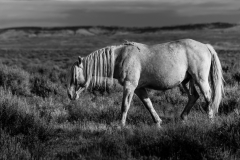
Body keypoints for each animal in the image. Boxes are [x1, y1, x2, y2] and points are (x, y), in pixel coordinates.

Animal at [66, 38, 224, 127]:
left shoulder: (130, 86)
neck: (120, 57)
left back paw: (210, 121)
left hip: (200, 79)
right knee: (194, 96)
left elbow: (125, 106)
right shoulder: (139, 89)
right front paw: (158, 122)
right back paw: (183, 118)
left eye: (75, 74)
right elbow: (148, 104)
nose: (70, 94)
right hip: (185, 82)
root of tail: (205, 46)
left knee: (208, 98)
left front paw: (120, 125)